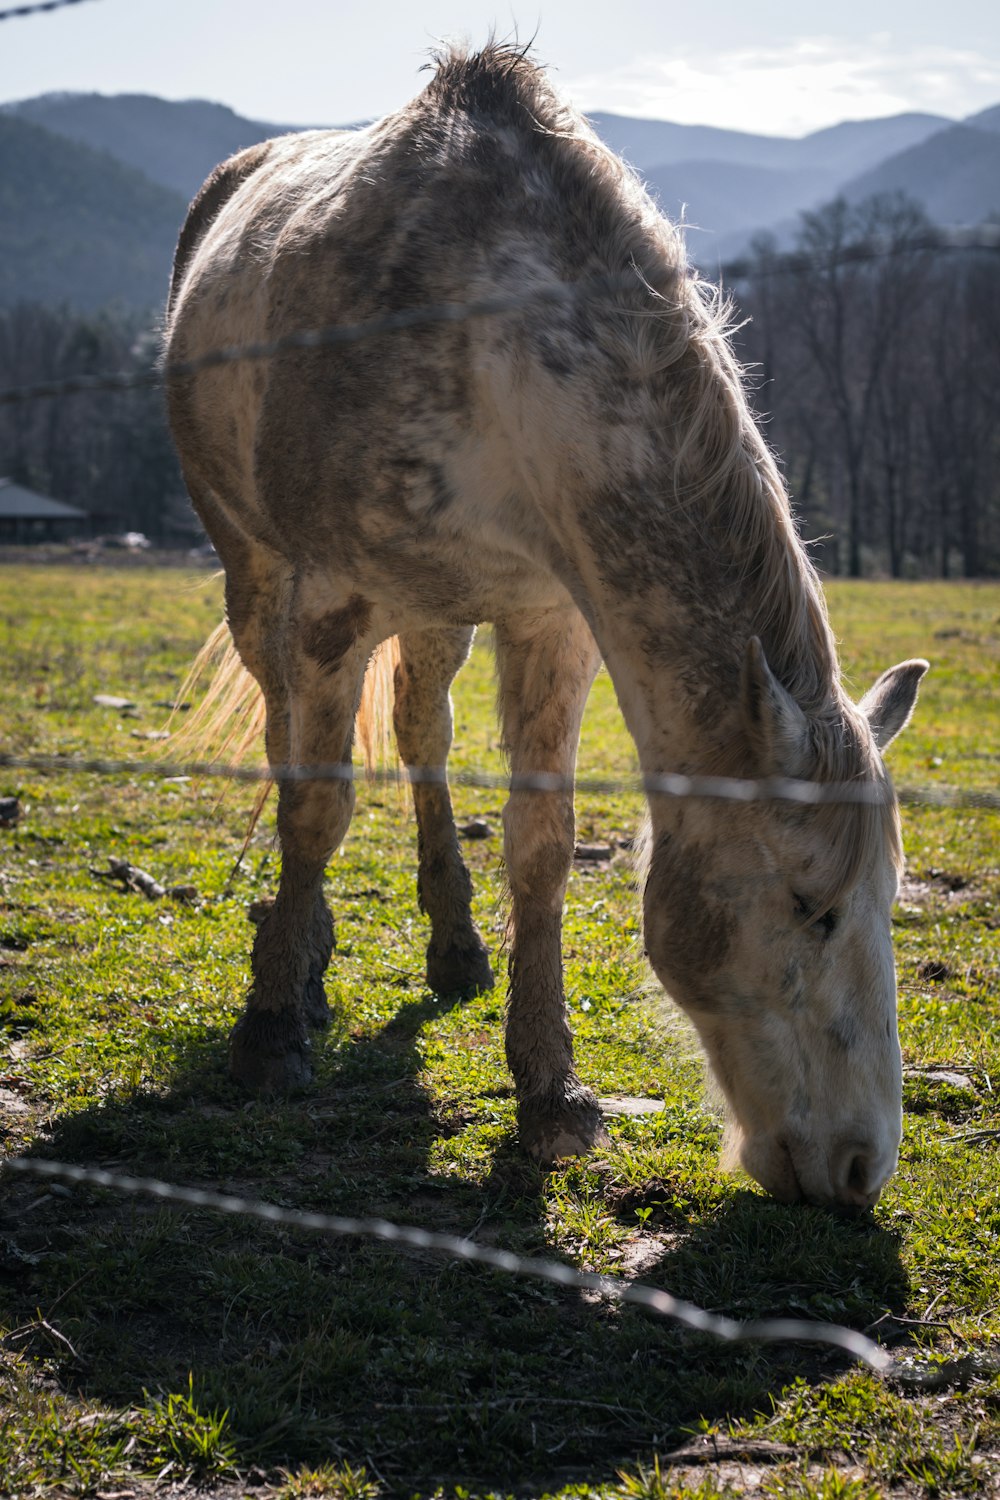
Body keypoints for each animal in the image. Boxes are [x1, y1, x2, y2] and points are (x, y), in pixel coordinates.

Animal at [162, 43, 923, 1206]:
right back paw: (305, 953)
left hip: (439, 611)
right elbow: (316, 811)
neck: (490, 351)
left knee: (422, 734)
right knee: (289, 731)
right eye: (813, 908)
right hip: (257, 575)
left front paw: (549, 1090)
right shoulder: (334, 599)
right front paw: (271, 1031)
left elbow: (543, 845)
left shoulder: (551, 620)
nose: (858, 1165)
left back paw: (453, 945)